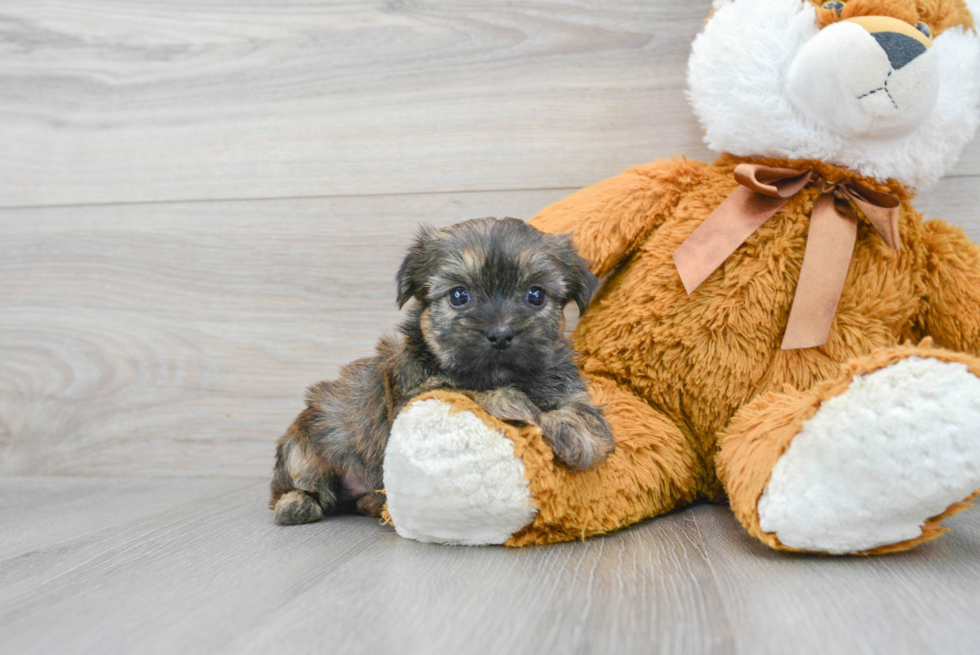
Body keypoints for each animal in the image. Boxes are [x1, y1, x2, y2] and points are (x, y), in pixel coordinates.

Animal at [268, 218, 612, 524]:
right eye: (459, 295)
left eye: (536, 295)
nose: (500, 334)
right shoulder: (416, 395)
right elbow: (463, 390)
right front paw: (510, 402)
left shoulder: (568, 384)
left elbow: (587, 414)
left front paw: (576, 431)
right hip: (303, 448)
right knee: (296, 490)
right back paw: (297, 505)